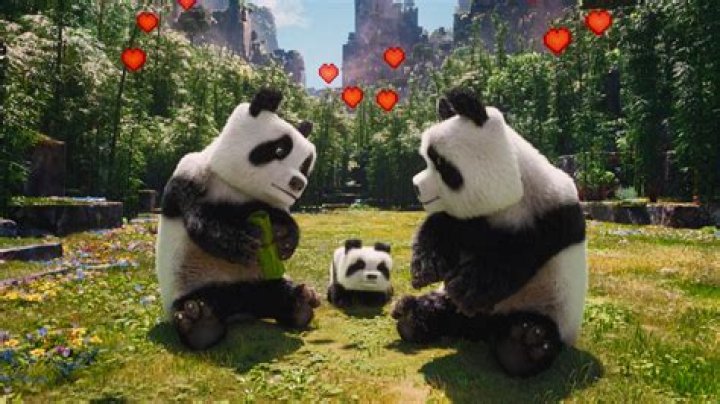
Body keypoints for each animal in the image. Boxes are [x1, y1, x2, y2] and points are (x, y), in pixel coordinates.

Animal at [155, 88, 321, 350]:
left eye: (305, 165)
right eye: (279, 151)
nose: (298, 183)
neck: (237, 187)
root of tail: (241, 311)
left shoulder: (264, 203)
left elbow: (281, 218)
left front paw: (284, 239)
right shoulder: (192, 174)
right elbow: (199, 218)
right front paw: (239, 244)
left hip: (262, 281)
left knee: (273, 293)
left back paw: (300, 303)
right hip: (190, 282)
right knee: (199, 302)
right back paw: (200, 324)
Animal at [391, 87, 587, 377]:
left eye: (442, 165)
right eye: (427, 160)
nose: (416, 186)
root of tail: (477, 332)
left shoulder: (551, 216)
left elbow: (512, 257)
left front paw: (467, 288)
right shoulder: (471, 219)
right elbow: (441, 227)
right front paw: (426, 268)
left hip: (548, 305)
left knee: (534, 331)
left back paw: (522, 346)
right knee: (441, 309)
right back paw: (412, 317)